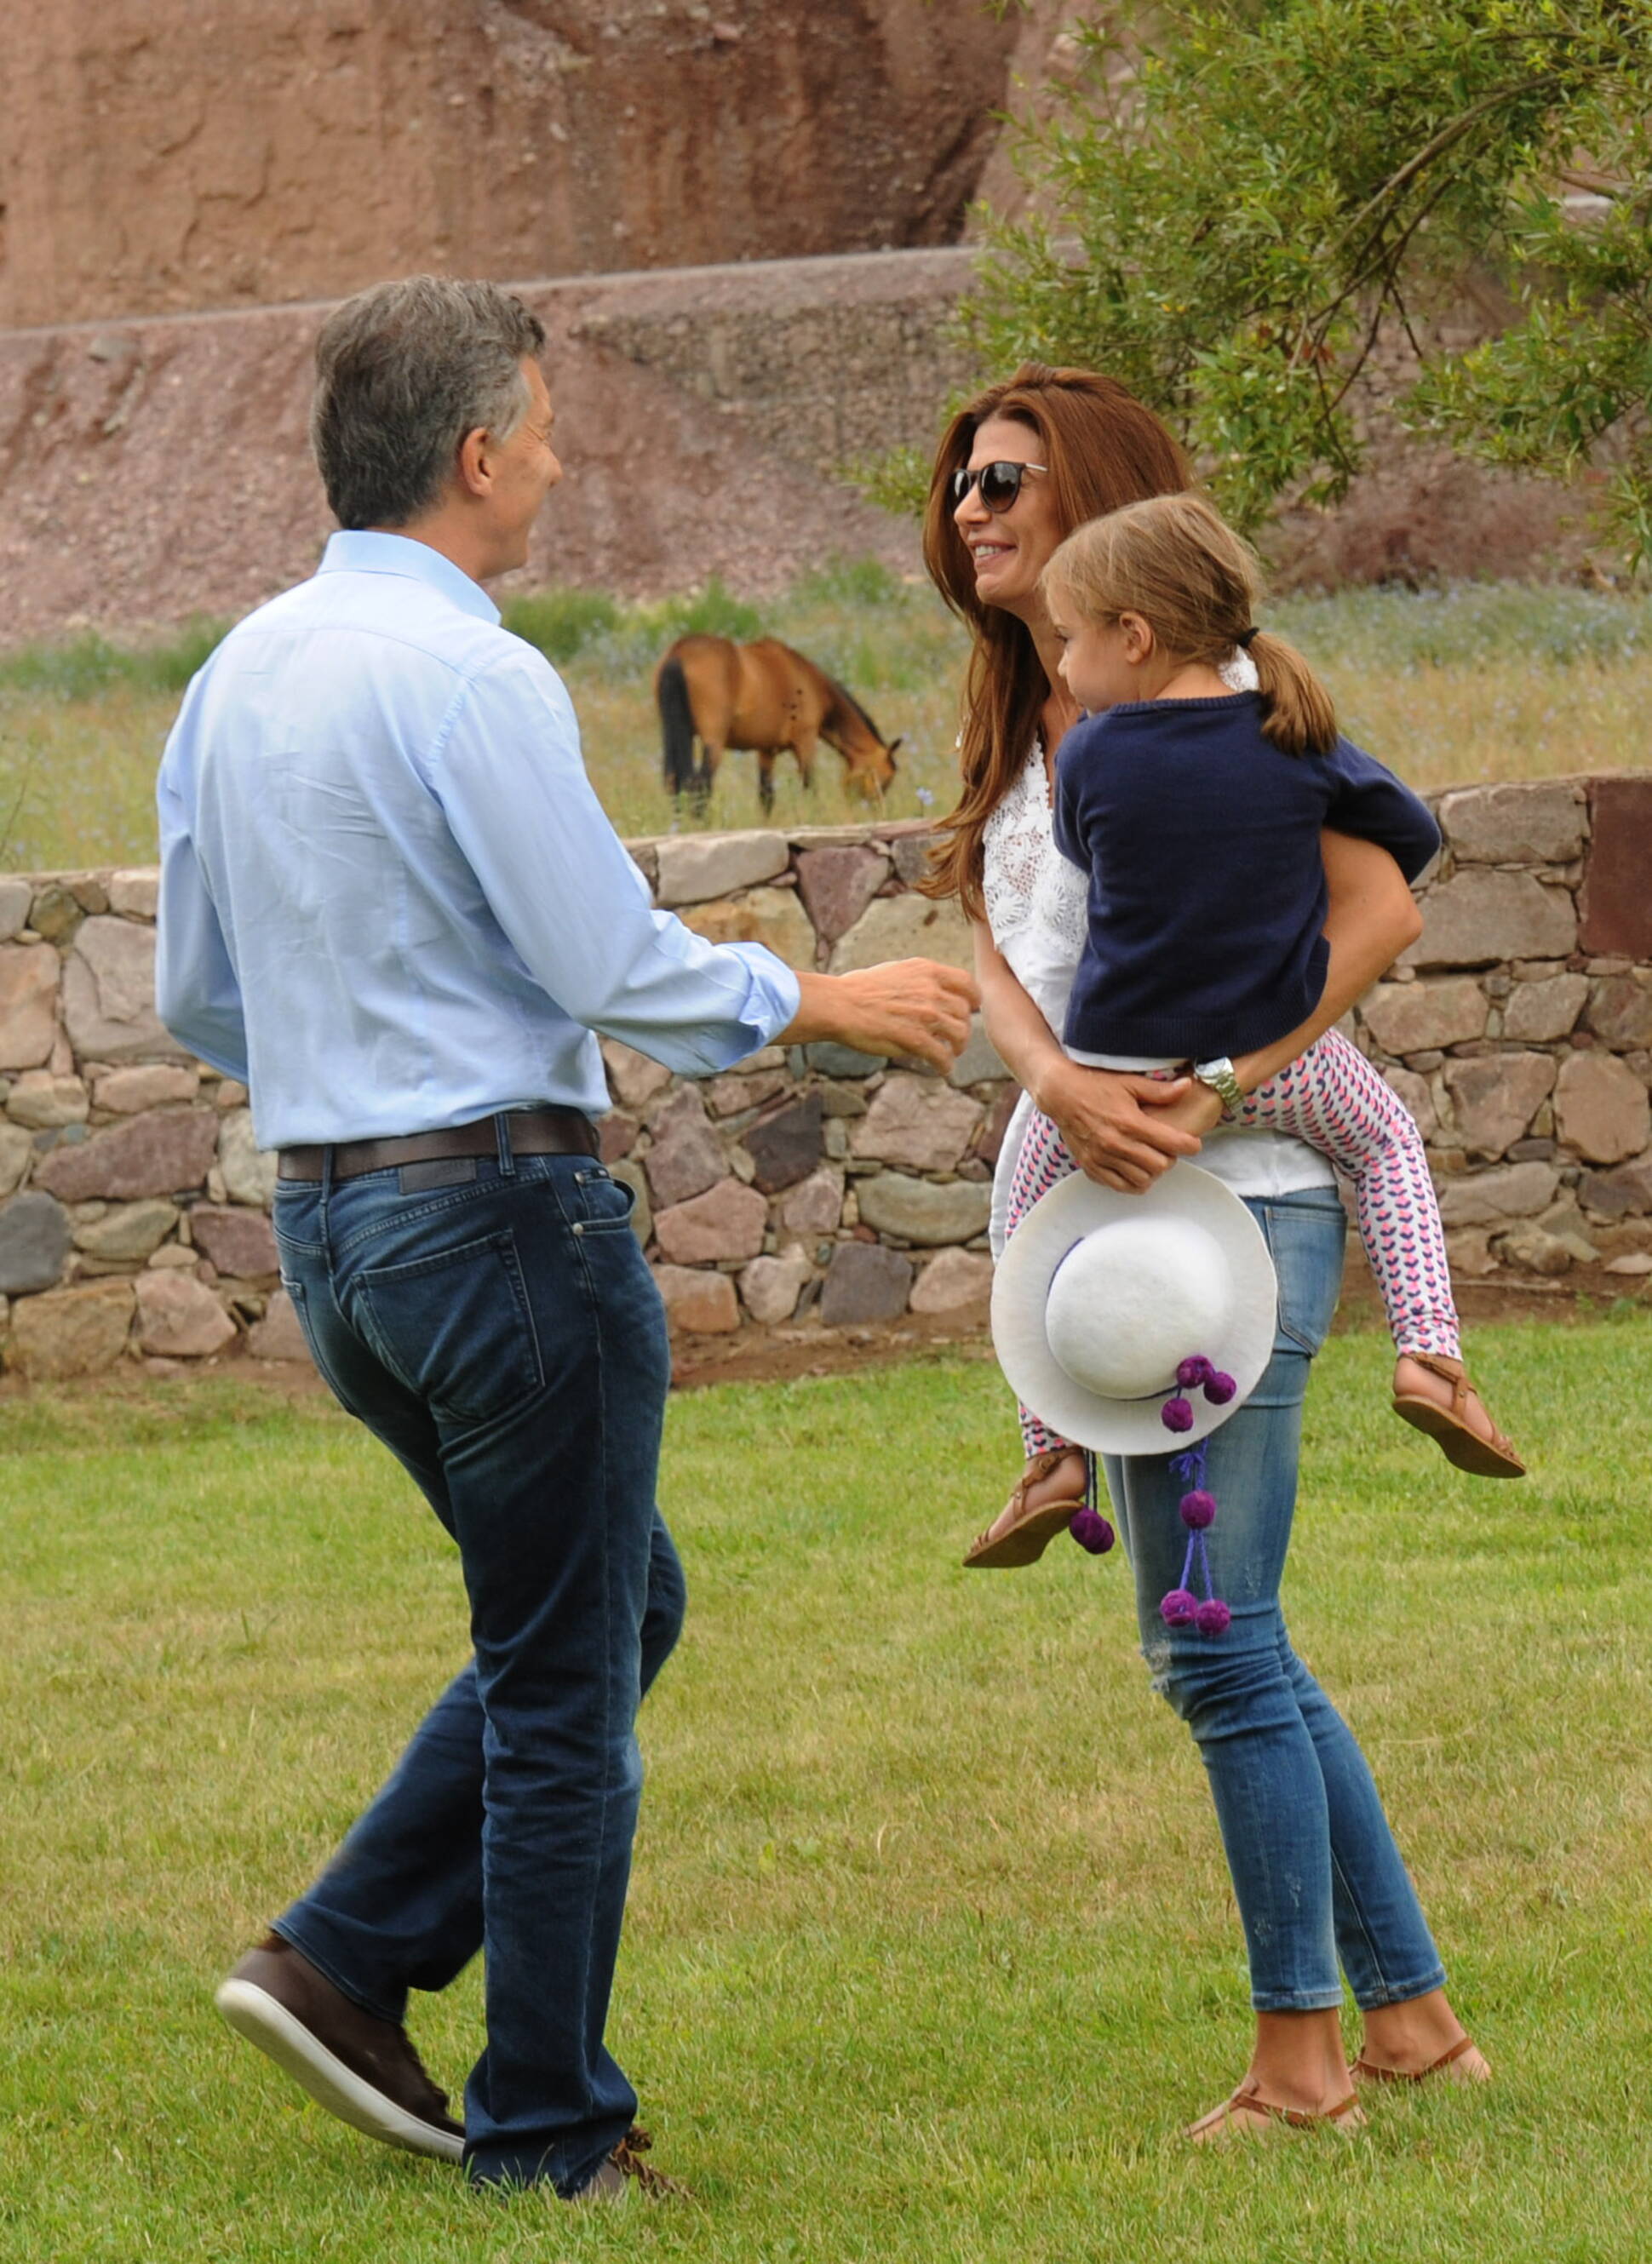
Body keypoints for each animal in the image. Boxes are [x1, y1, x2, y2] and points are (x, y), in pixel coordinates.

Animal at [651, 638, 900, 815]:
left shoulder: (766, 751)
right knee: (700, 787)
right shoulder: (805, 742)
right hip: (713, 743)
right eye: (885, 780)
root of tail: (680, 652)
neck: (807, 679)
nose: (875, 813)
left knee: (674, 783)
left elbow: (766, 798)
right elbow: (811, 789)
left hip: (674, 735)